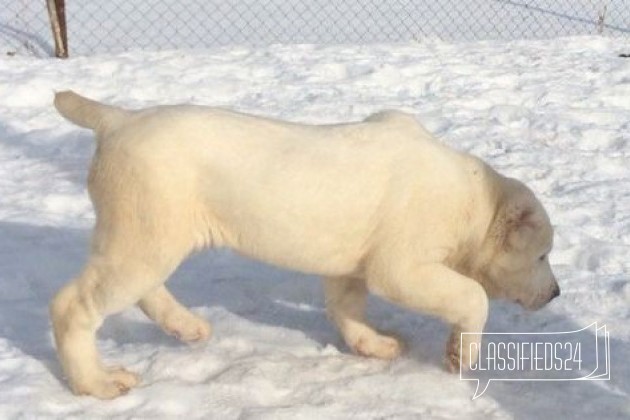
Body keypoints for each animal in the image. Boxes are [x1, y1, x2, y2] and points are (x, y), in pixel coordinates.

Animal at [51, 90, 560, 398]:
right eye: (542, 255)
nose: (556, 293)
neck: (477, 200)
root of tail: (118, 120)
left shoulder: (351, 260)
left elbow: (346, 303)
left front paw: (373, 345)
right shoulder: (402, 264)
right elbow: (471, 295)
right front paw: (461, 354)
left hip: (148, 234)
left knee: (142, 287)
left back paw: (187, 327)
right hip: (147, 225)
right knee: (75, 304)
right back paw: (97, 382)